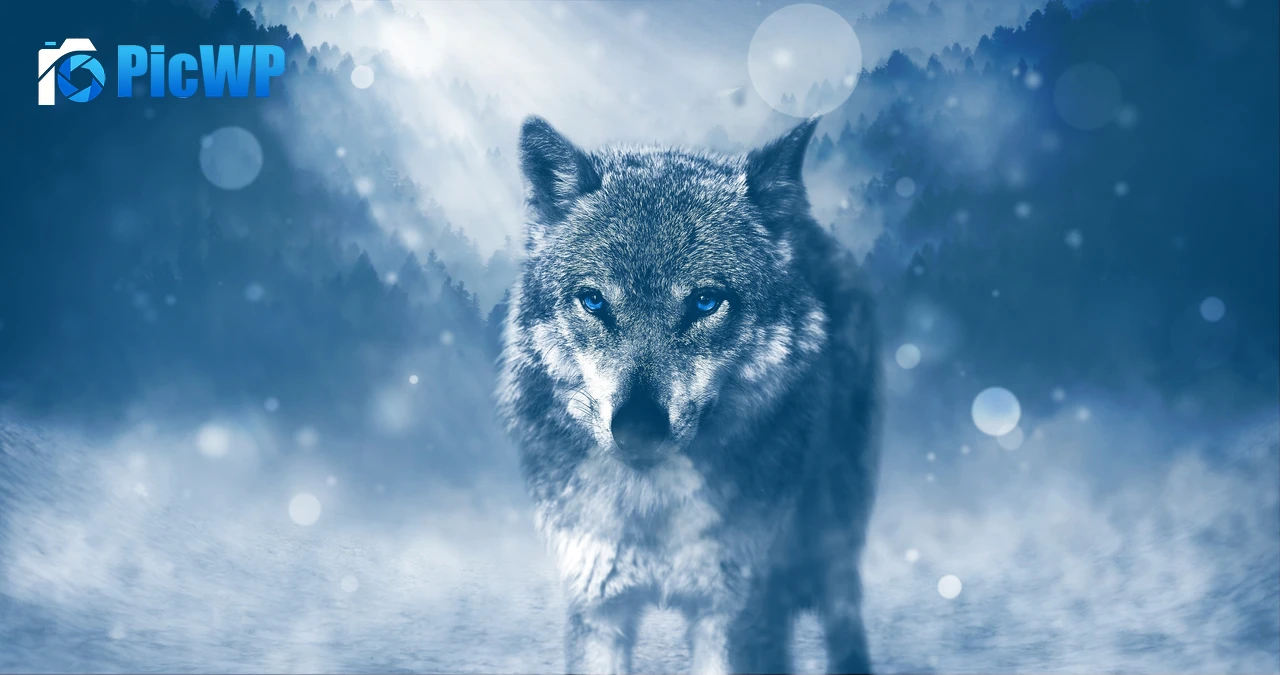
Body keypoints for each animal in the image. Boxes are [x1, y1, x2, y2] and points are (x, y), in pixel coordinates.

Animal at [496, 115, 881, 675]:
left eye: (704, 302)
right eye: (593, 301)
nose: (637, 428)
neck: (652, 509)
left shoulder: (734, 611)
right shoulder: (597, 604)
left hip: (833, 532)